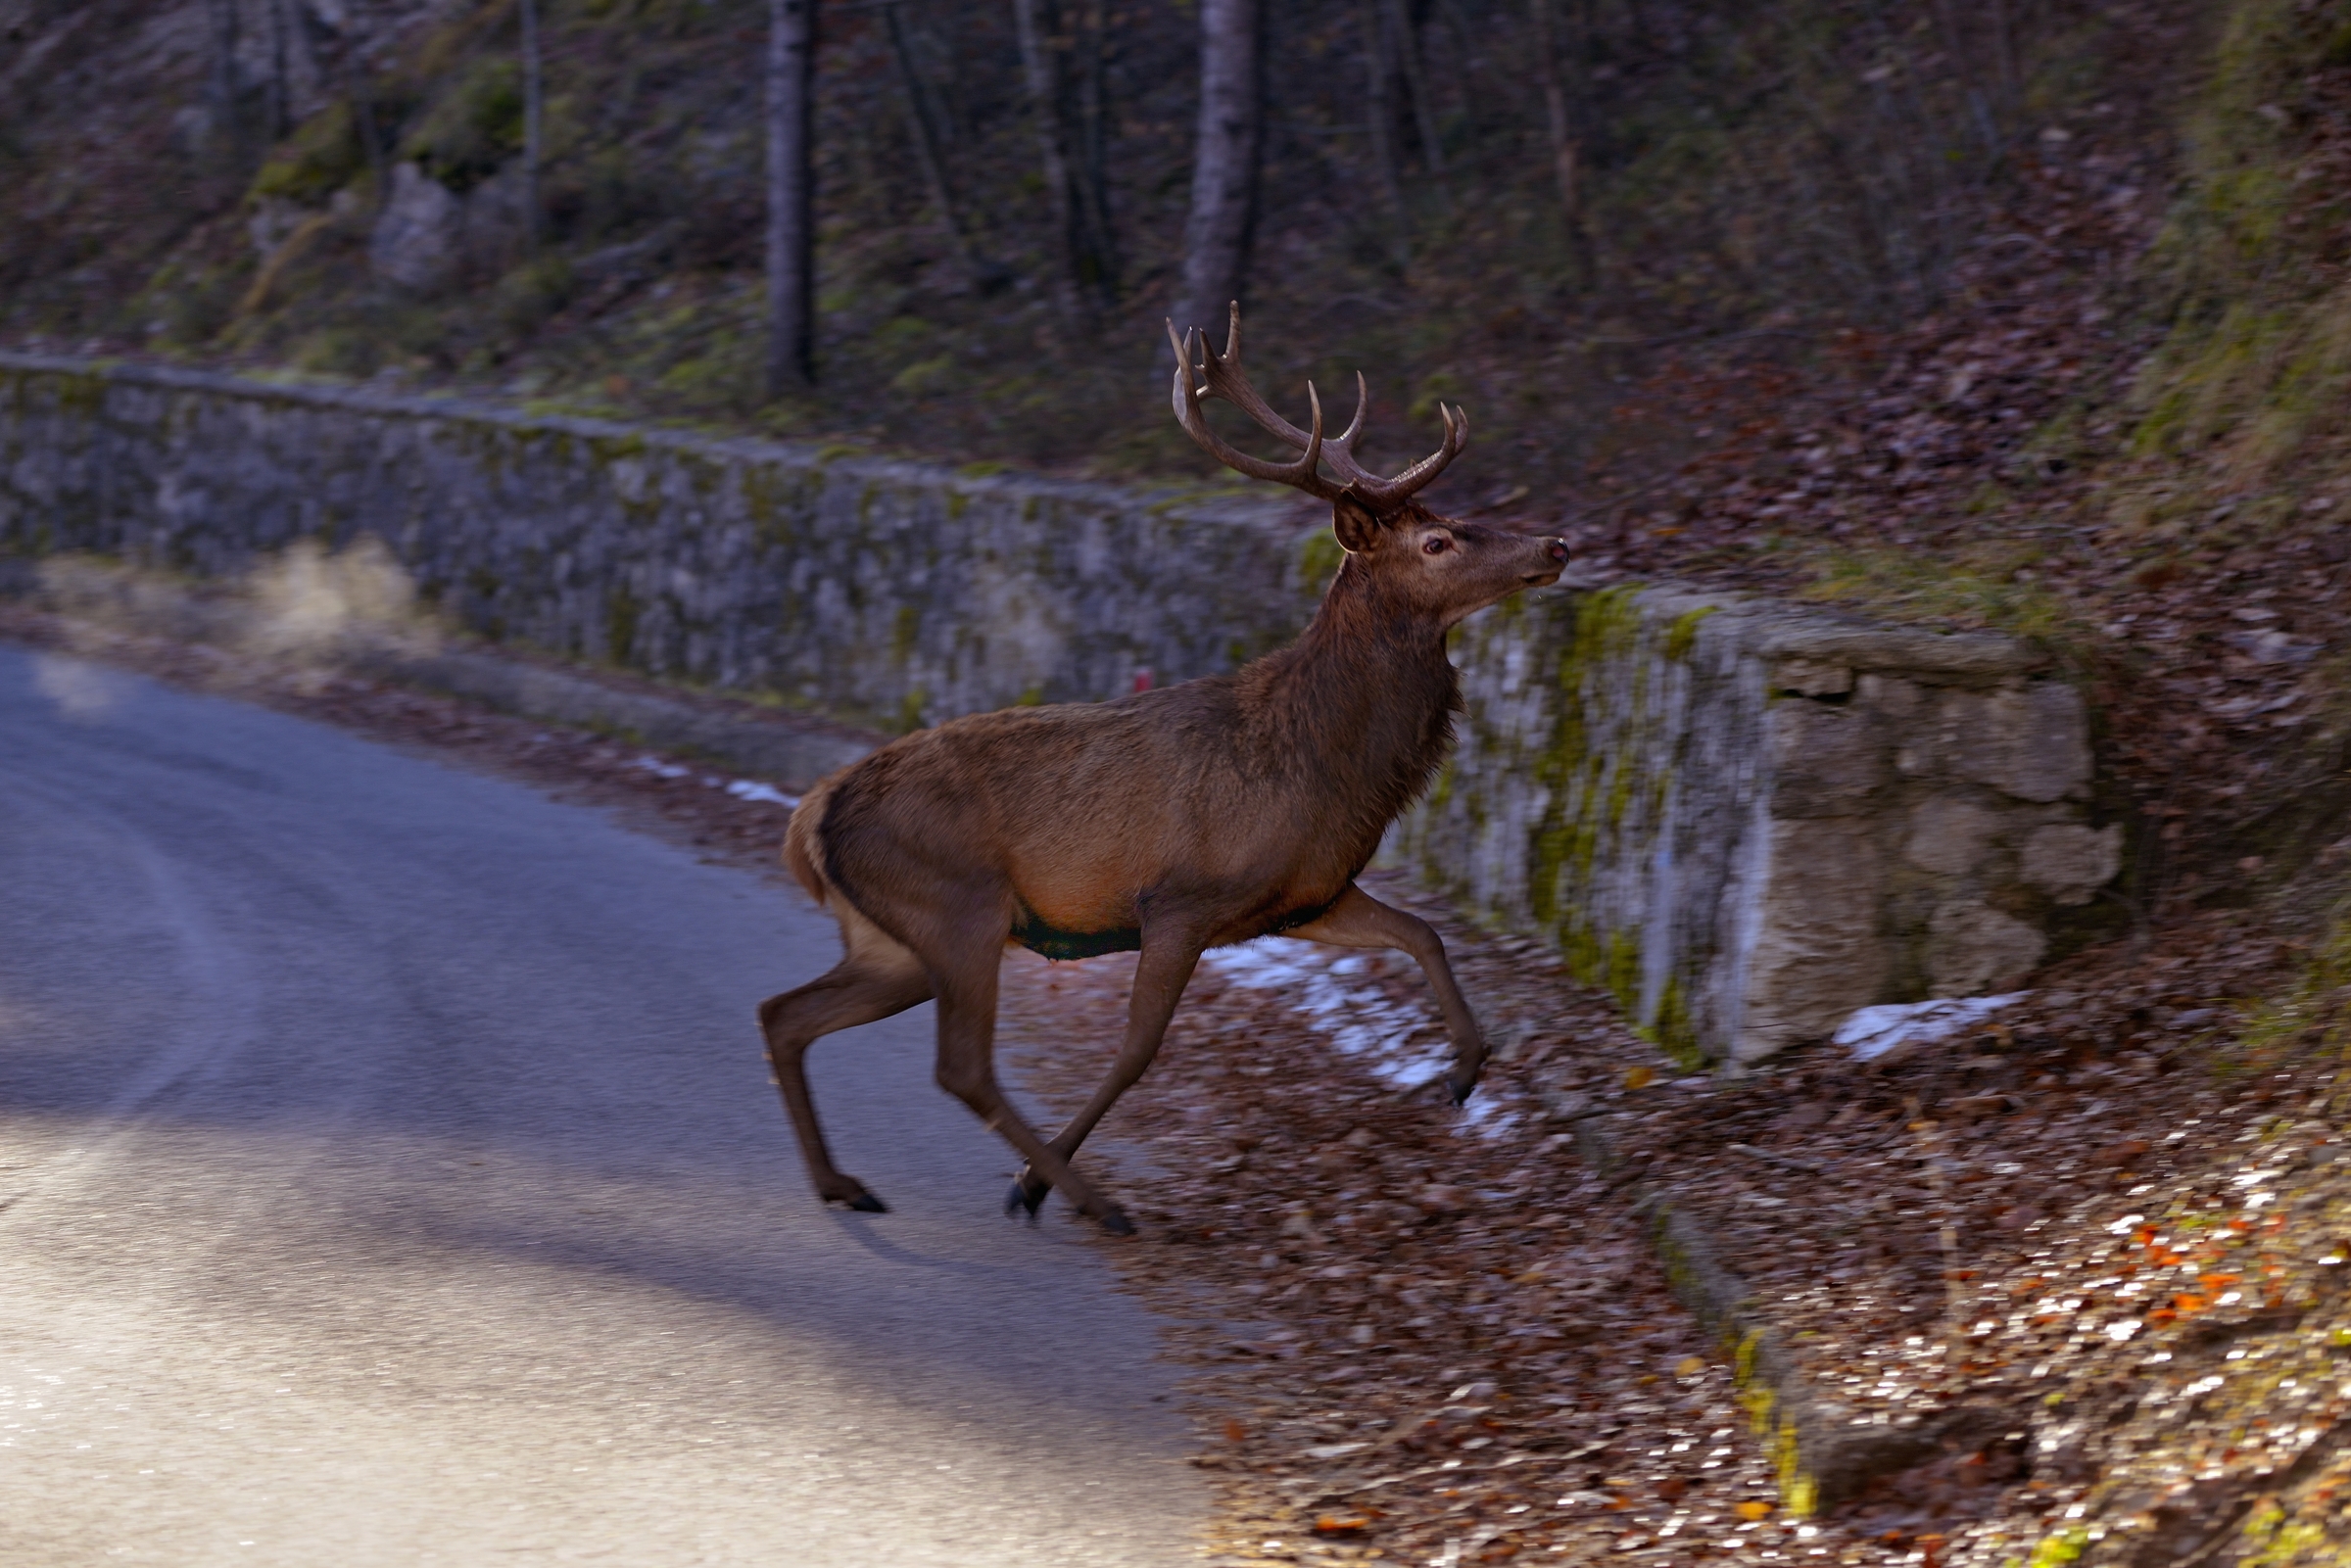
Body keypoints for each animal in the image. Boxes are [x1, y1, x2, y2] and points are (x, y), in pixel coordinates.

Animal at [761, 306, 1568, 1235]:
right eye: (1436, 541)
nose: (1556, 542)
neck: (1321, 766)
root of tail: (811, 816)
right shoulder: (1180, 898)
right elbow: (1138, 1050)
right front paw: (1034, 1182)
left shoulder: (1305, 898)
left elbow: (1423, 933)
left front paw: (1465, 1071)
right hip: (957, 905)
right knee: (957, 1065)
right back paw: (1087, 1197)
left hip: (890, 939)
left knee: (786, 1013)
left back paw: (842, 1181)